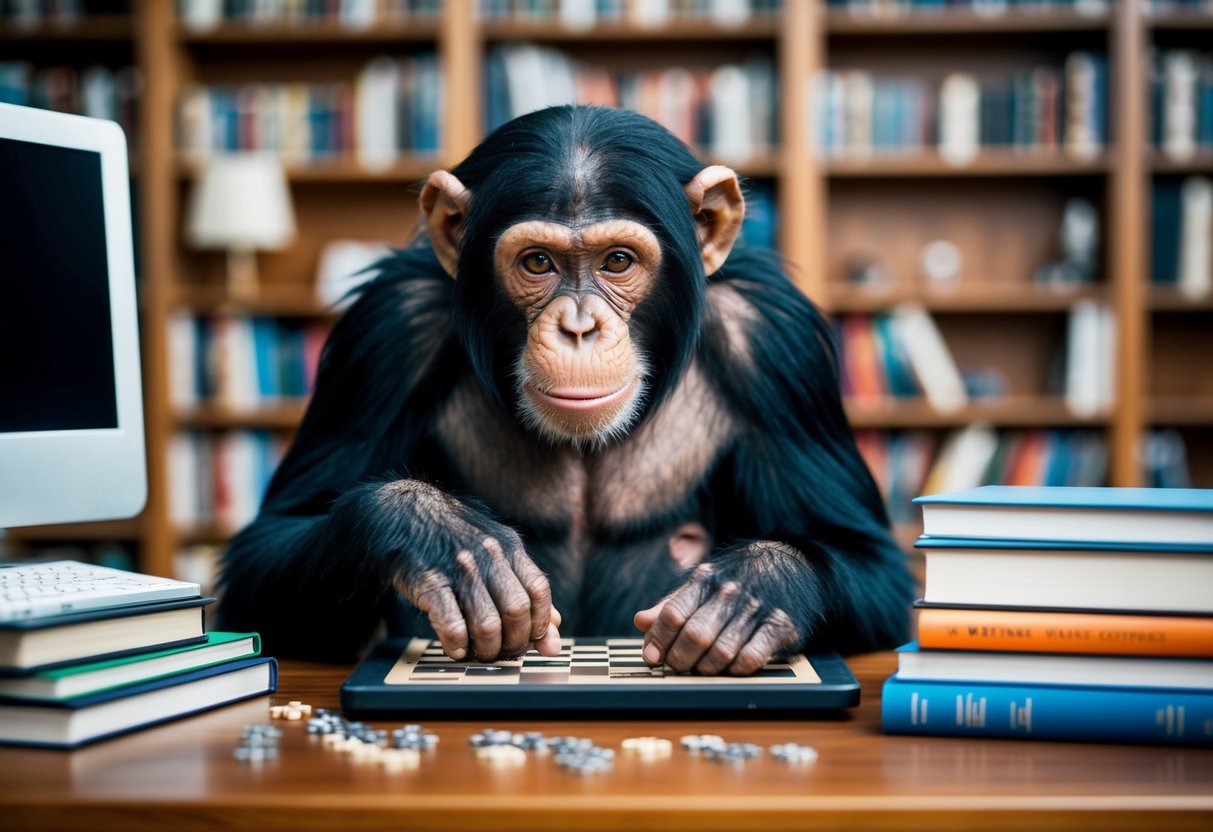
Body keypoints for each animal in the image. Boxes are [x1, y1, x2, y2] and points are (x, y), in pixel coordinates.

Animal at [215, 105, 913, 675]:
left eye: (617, 262)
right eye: (538, 264)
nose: (579, 326)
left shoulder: (778, 345)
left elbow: (872, 560)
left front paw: (752, 589)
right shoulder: (384, 331)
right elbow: (267, 550)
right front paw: (439, 536)